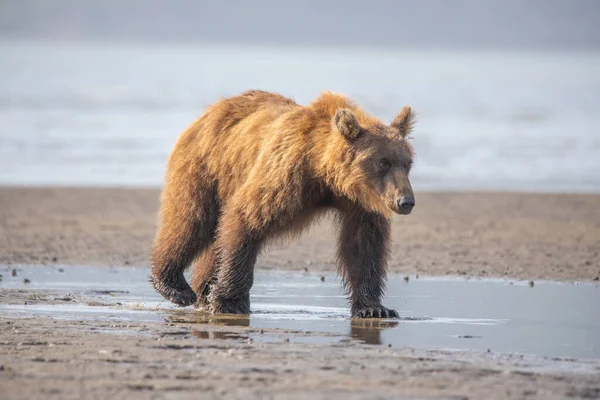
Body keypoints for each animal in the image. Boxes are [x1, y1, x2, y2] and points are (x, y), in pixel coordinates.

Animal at [150, 90, 414, 318]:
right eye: (383, 162)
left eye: (407, 162)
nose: (406, 201)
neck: (324, 173)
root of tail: (209, 111)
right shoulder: (286, 174)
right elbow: (246, 218)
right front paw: (230, 302)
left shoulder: (361, 203)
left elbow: (363, 246)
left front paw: (374, 308)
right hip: (205, 166)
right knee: (192, 220)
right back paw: (176, 287)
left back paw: (203, 292)